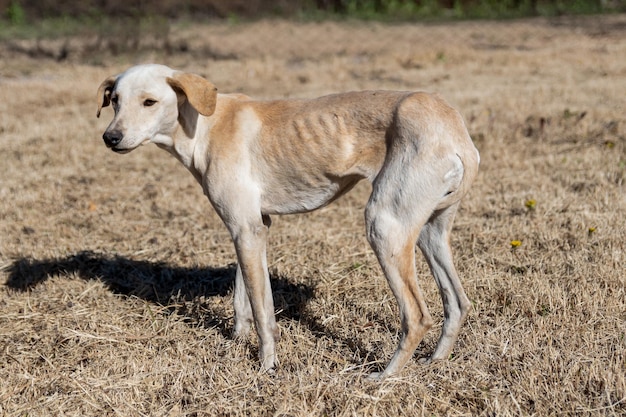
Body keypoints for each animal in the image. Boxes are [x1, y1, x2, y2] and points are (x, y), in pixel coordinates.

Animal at [96, 63, 478, 378]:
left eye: (149, 102)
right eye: (114, 100)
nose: (110, 138)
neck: (205, 124)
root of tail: (455, 129)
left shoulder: (246, 230)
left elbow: (263, 312)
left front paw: (266, 367)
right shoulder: (252, 229)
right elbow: (243, 300)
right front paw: (235, 344)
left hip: (384, 227)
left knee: (417, 316)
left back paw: (384, 377)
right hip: (429, 232)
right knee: (457, 303)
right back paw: (435, 361)